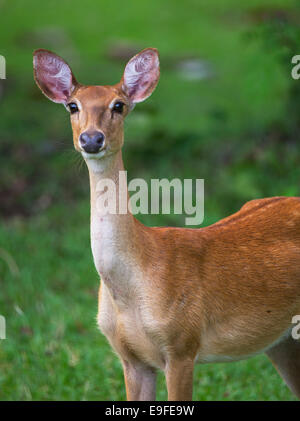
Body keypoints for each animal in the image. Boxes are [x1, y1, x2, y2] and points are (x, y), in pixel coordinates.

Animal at [32, 47, 300, 398]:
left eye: (118, 105)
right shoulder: (130, 358)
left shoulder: (182, 344)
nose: (91, 139)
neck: (133, 282)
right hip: (281, 340)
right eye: (72, 106)